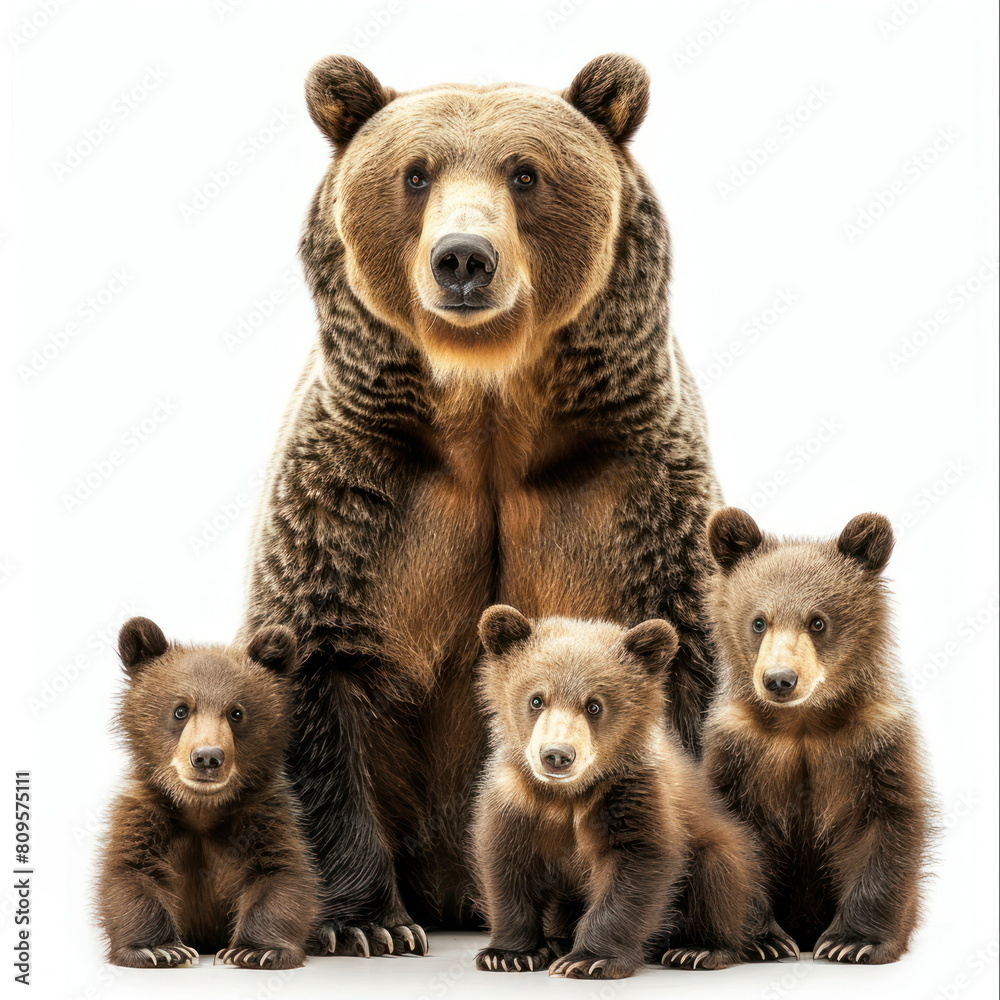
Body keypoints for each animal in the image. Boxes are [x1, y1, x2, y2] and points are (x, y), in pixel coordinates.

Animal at [96, 617, 320, 969]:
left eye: (236, 712)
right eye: (180, 709)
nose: (207, 757)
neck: (201, 808)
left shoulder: (262, 817)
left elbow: (281, 875)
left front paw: (255, 950)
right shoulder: (148, 813)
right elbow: (131, 872)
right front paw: (160, 949)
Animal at [241, 53, 722, 953]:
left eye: (525, 173)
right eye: (416, 172)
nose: (463, 258)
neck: (489, 407)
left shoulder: (625, 484)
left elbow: (680, 658)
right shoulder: (365, 489)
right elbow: (321, 656)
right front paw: (367, 924)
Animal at [470, 605, 796, 979]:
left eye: (594, 705)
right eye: (536, 699)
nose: (557, 755)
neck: (566, 796)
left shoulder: (633, 794)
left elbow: (636, 868)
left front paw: (589, 959)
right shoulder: (518, 800)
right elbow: (507, 866)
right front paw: (508, 954)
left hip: (728, 849)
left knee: (720, 874)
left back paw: (703, 949)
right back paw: (558, 941)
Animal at [702, 508, 932, 964]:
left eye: (818, 621)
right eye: (759, 621)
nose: (779, 679)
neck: (803, 723)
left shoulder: (873, 742)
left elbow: (887, 825)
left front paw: (853, 942)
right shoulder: (738, 749)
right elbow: (732, 836)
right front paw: (765, 941)